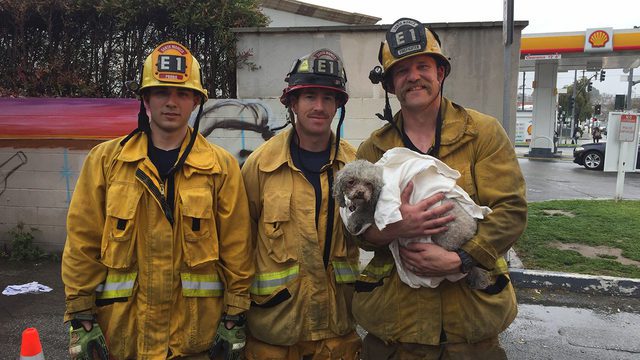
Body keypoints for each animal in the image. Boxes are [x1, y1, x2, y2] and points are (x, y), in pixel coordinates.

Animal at [336, 159, 490, 288]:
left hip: (446, 238)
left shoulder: (375, 209)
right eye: (351, 182)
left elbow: (363, 213)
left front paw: (353, 221)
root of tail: (471, 231)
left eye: (368, 183)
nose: (360, 193)